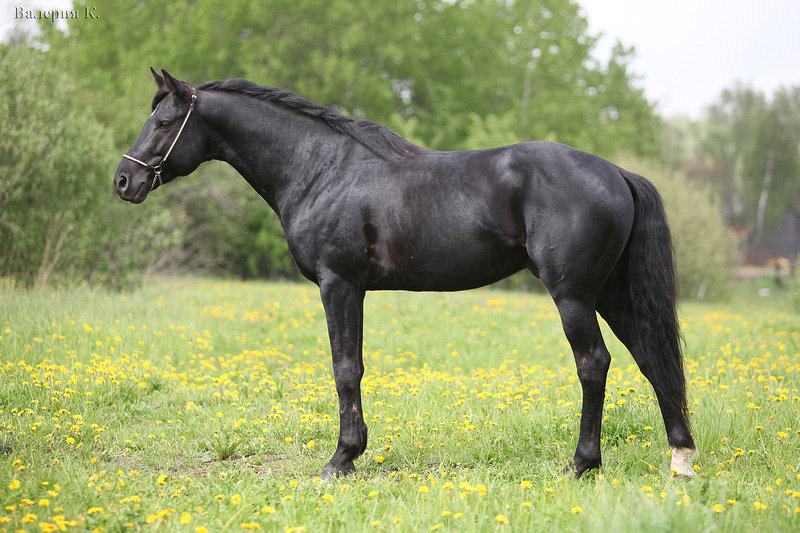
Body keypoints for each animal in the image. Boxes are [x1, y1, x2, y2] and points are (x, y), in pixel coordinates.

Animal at [115, 68, 696, 480]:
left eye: (164, 123)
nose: (123, 180)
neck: (320, 168)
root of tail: (616, 172)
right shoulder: (352, 289)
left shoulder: (340, 285)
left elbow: (345, 368)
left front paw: (341, 459)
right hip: (610, 294)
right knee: (652, 359)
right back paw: (681, 460)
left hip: (573, 295)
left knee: (594, 364)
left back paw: (581, 464)